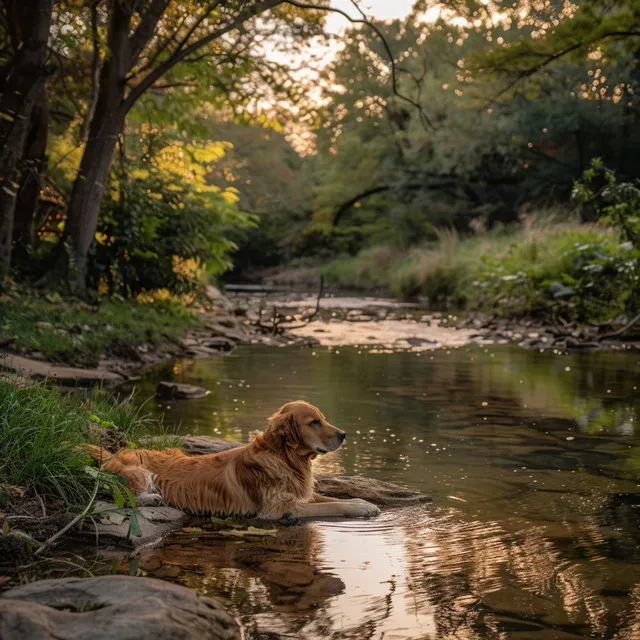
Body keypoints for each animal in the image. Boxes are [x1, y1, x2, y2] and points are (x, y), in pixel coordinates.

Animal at [82, 400, 378, 520]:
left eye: (323, 419)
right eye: (314, 422)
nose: (343, 434)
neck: (284, 457)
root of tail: (115, 452)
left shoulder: (299, 495)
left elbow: (333, 498)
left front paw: (363, 502)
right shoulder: (279, 508)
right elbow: (332, 505)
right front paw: (360, 508)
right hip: (139, 472)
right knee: (118, 493)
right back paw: (152, 499)